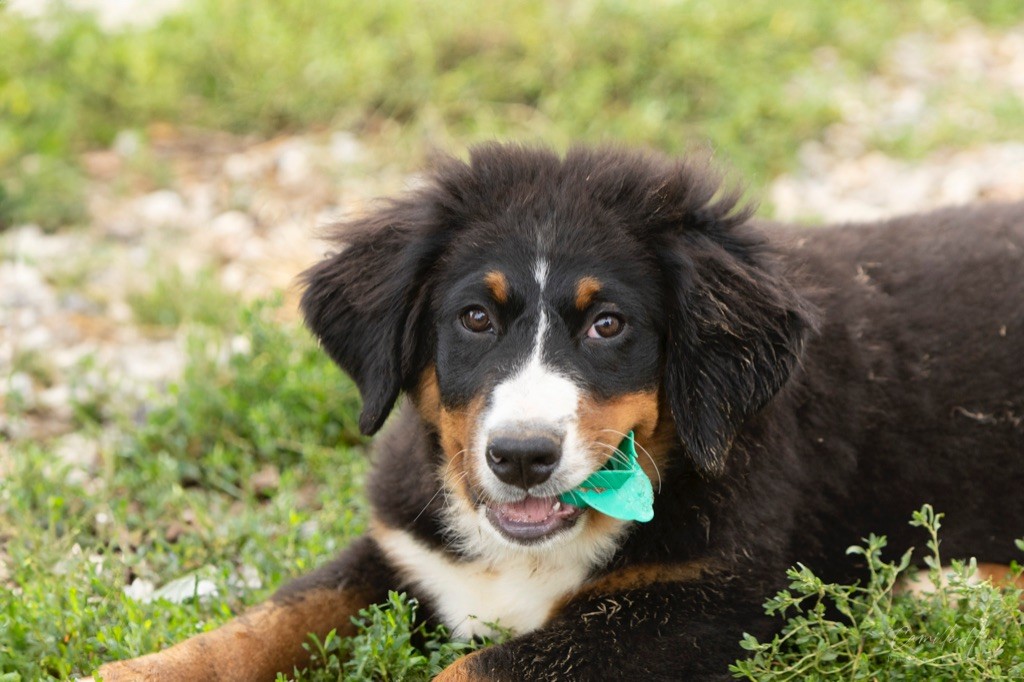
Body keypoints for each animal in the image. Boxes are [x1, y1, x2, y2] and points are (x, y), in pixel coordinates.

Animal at [96, 144, 1024, 679]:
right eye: (475, 318)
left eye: (608, 325)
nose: (520, 457)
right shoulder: (404, 547)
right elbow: (271, 617)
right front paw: (135, 672)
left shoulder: (701, 606)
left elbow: (474, 671)